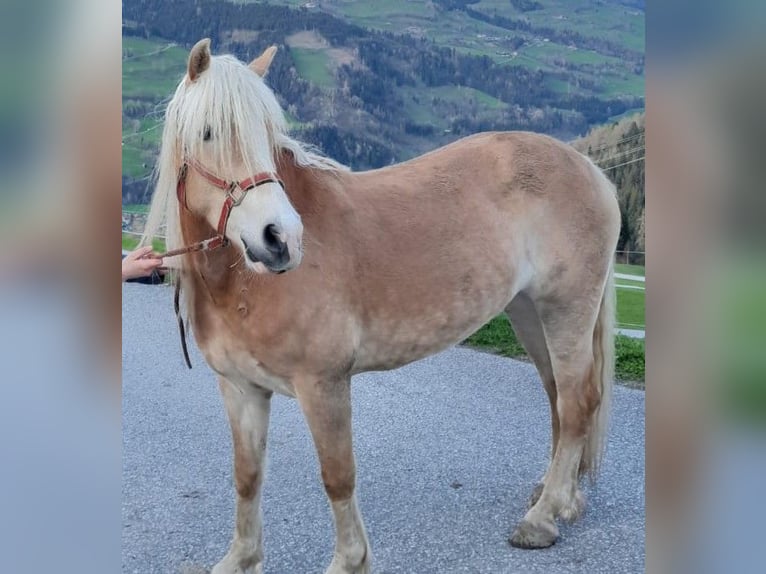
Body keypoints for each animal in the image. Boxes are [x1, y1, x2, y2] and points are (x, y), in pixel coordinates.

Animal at [142, 38, 624, 572]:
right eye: (208, 133)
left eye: (269, 136)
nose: (280, 239)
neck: (243, 286)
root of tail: (589, 169)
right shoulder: (240, 388)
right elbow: (247, 476)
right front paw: (241, 558)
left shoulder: (323, 384)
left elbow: (337, 475)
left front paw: (349, 560)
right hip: (528, 312)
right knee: (558, 397)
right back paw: (559, 499)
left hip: (566, 310)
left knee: (577, 401)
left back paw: (543, 518)